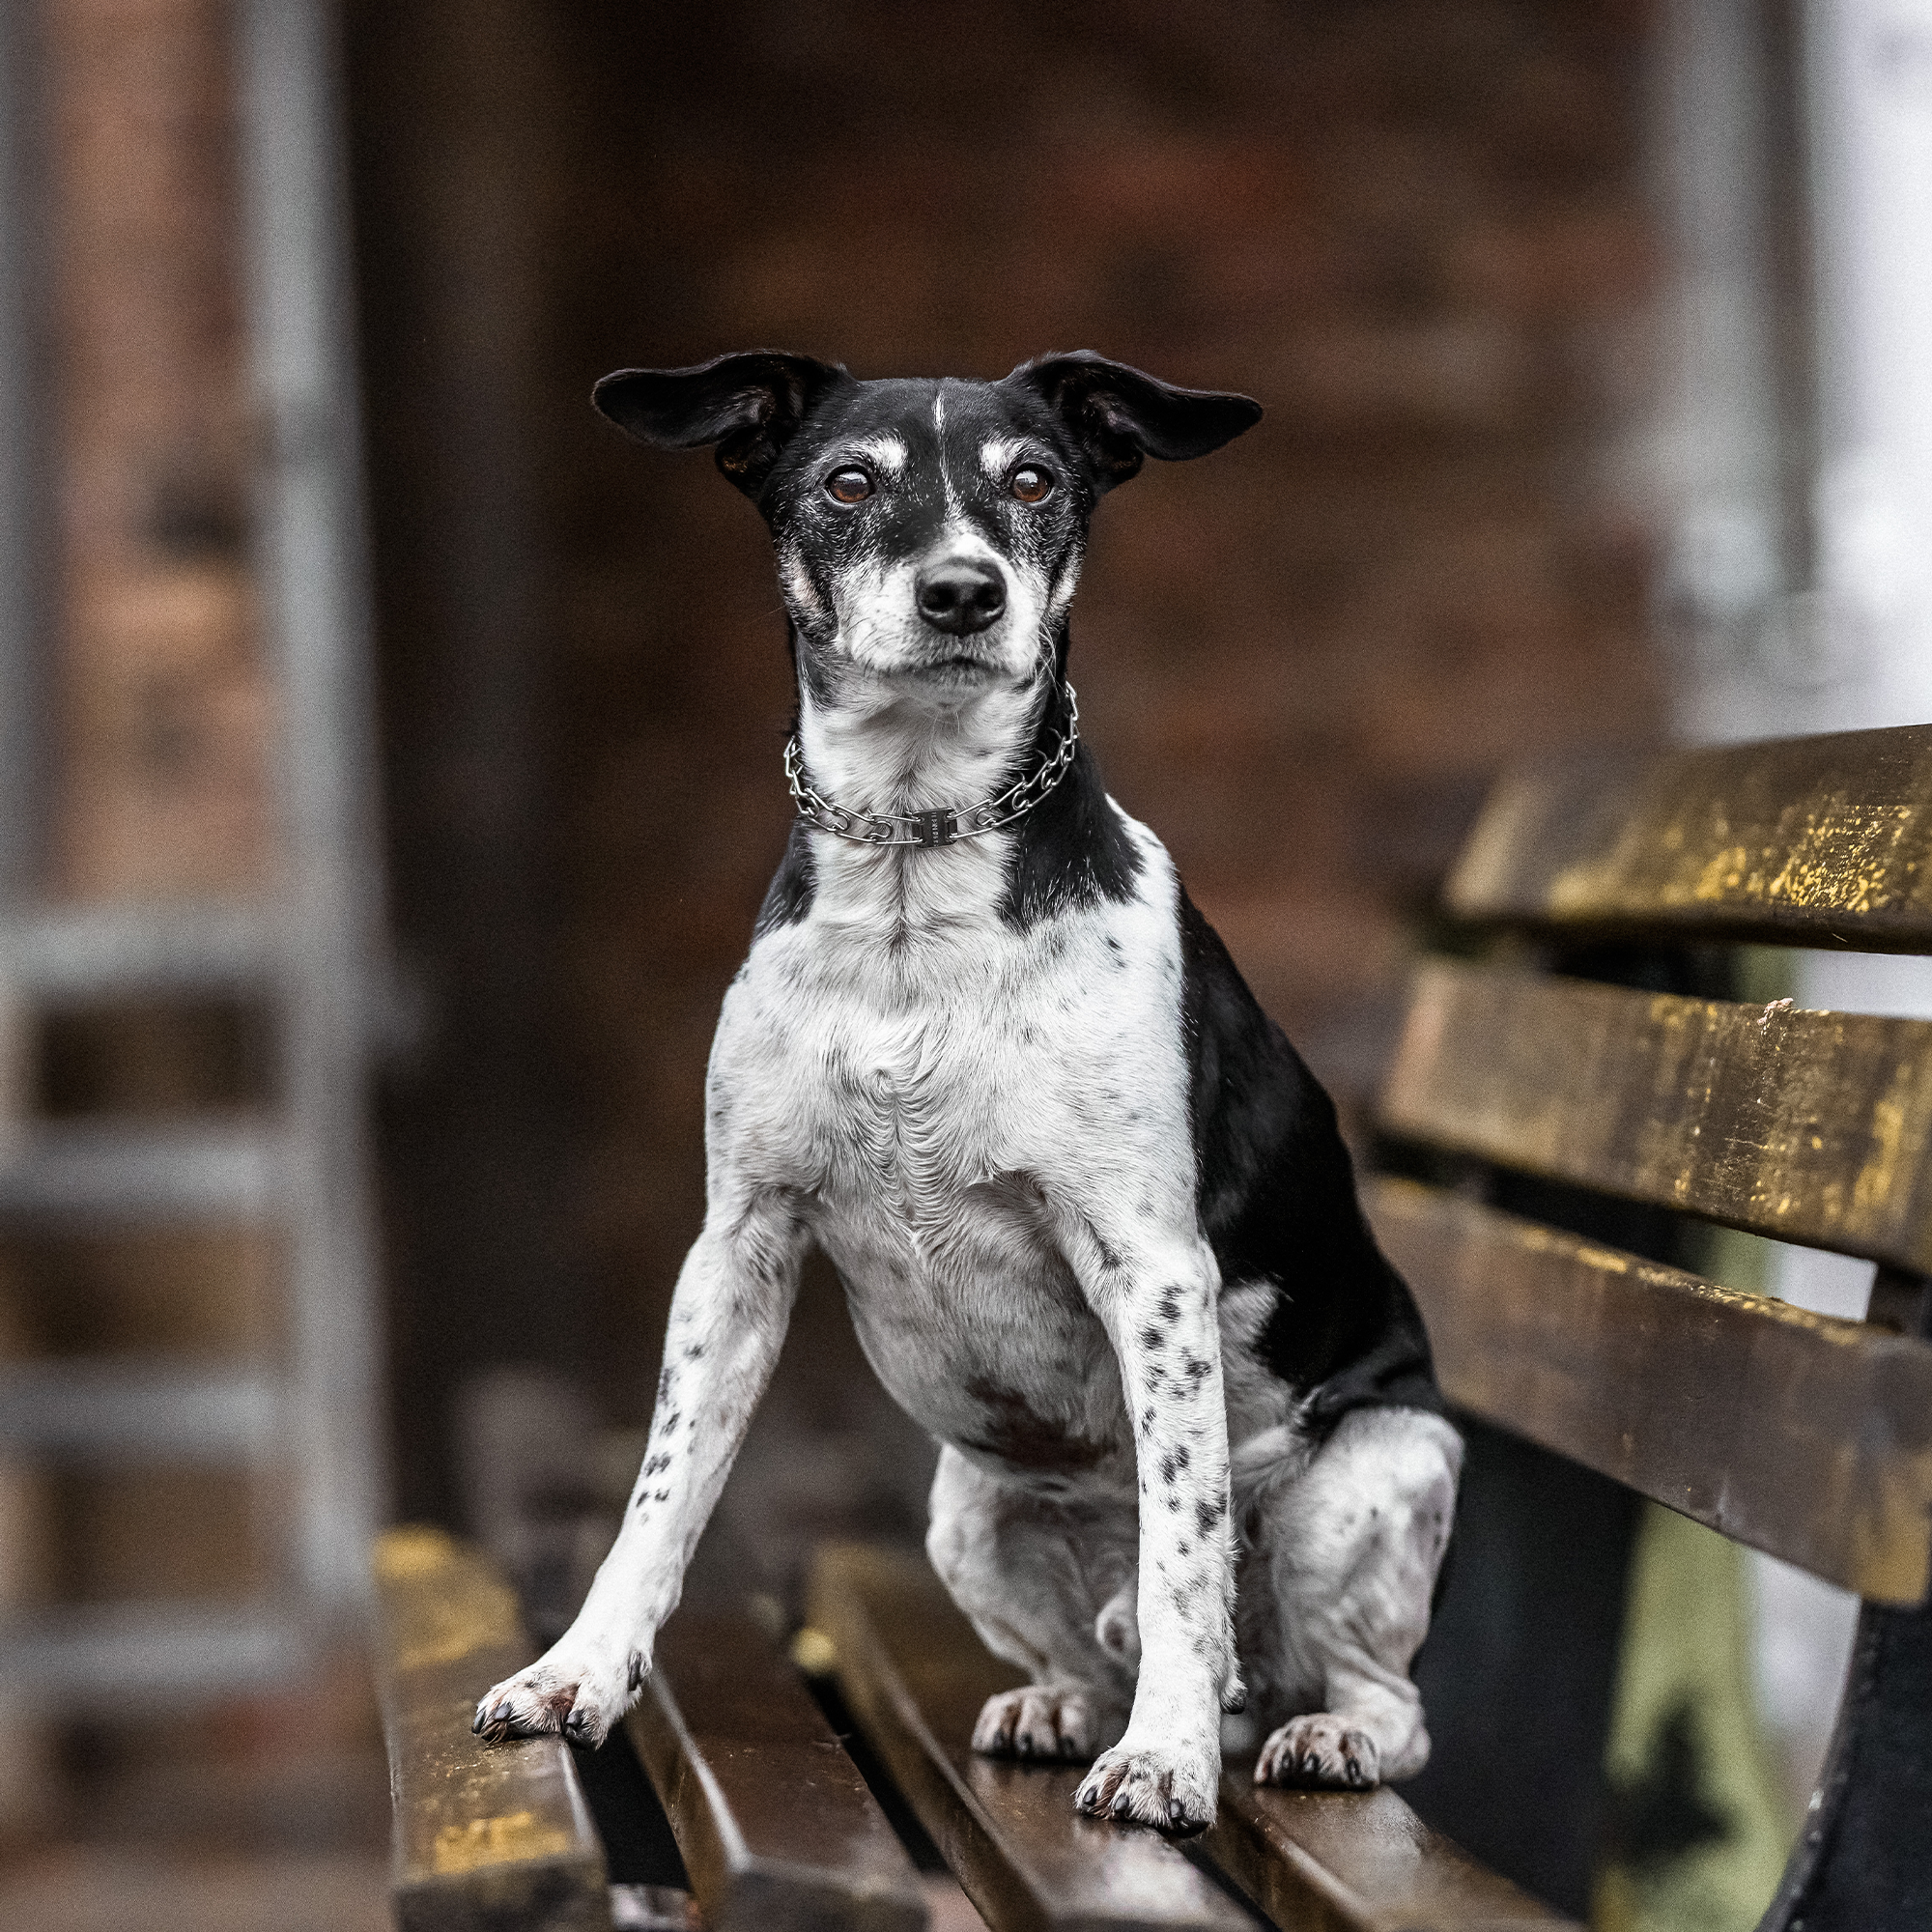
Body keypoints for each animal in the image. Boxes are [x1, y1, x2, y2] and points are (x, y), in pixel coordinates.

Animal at [475, 355, 1453, 1832]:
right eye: (848, 481)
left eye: (1034, 479)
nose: (962, 590)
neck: (908, 879)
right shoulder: (738, 1249)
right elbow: (656, 1501)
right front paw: (574, 1673)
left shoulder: (1152, 1269)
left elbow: (1184, 1551)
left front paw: (1164, 1761)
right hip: (967, 1514)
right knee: (1096, 1650)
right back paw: (1062, 1703)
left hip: (1371, 1478)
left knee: (1380, 1700)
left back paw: (1303, 1733)